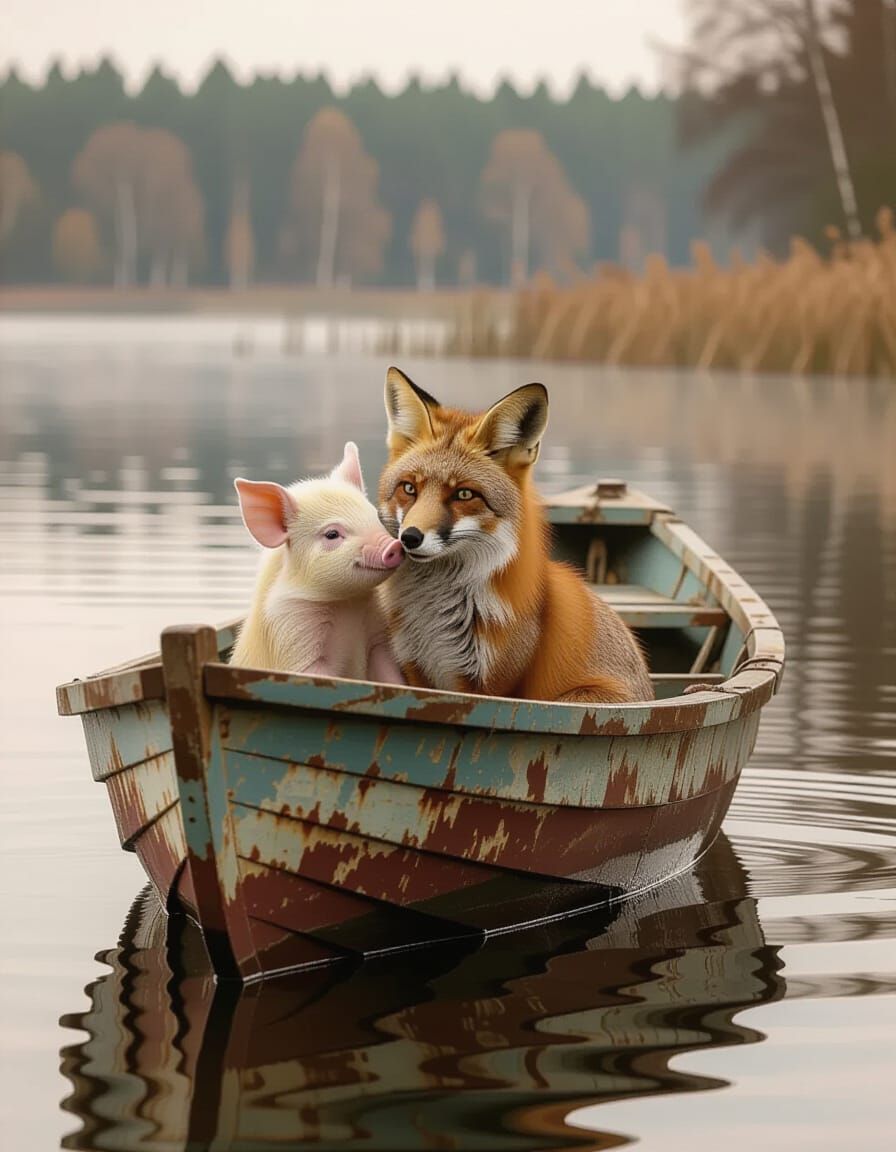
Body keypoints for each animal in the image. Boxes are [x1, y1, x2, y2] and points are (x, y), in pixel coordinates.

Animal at [230, 442, 405, 683]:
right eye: (332, 534)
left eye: (376, 518)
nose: (395, 545)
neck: (345, 603)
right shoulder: (291, 630)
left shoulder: (377, 632)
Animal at [377, 367, 653, 704]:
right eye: (408, 488)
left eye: (464, 494)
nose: (410, 538)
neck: (434, 620)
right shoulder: (415, 669)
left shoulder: (494, 686)